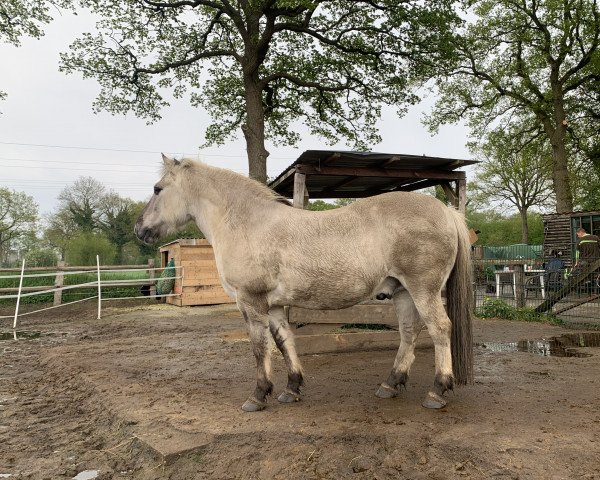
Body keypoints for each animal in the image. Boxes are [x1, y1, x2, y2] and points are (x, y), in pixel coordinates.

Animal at [136, 154, 474, 412]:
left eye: (157, 188)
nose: (140, 229)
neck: (248, 223)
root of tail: (446, 211)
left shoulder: (251, 301)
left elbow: (259, 348)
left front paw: (258, 395)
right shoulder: (273, 306)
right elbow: (284, 342)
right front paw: (291, 388)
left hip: (423, 290)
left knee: (439, 329)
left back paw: (437, 391)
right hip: (402, 291)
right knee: (408, 332)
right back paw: (390, 384)